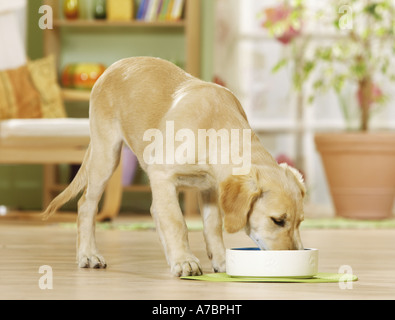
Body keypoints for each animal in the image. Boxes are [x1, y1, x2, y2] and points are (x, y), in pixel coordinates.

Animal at [44, 56, 310, 276]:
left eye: (300, 222)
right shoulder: (161, 174)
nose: (296, 258)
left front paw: (221, 261)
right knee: (86, 205)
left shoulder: (210, 188)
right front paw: (184, 261)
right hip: (106, 154)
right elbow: (176, 221)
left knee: (154, 210)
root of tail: (112, 67)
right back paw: (89, 254)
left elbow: (212, 226)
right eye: (278, 220)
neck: (215, 126)